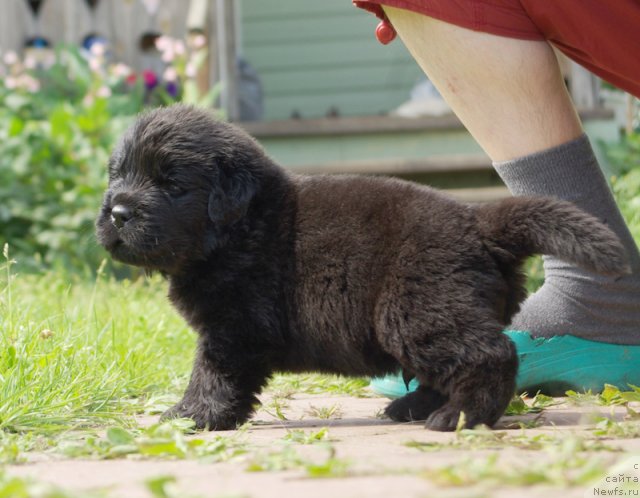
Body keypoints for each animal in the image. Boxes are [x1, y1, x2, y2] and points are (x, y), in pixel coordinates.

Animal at [96, 105, 632, 432]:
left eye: (172, 184)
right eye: (117, 174)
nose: (117, 212)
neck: (241, 226)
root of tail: (477, 221)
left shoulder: (234, 329)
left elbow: (211, 373)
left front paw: (191, 415)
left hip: (418, 310)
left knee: (490, 355)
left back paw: (458, 416)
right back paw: (412, 407)